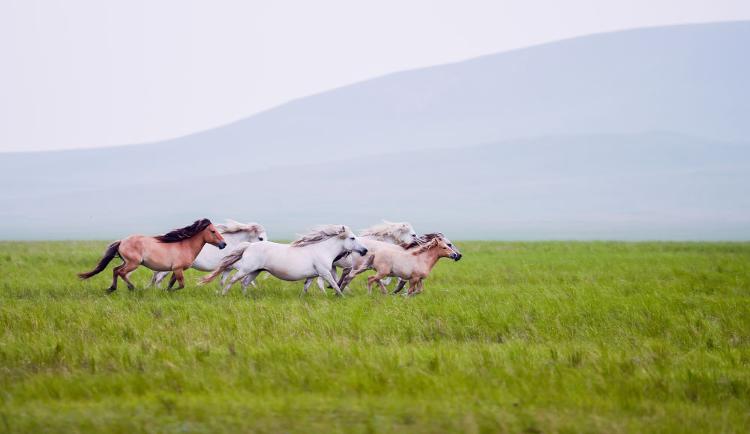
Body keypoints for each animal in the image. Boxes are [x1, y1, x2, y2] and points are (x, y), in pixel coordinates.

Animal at [78, 219, 229, 294]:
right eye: (213, 231)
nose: (224, 244)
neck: (185, 246)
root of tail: (122, 241)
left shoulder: (175, 270)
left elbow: (173, 283)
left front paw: (166, 291)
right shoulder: (178, 269)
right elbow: (181, 285)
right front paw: (165, 291)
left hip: (128, 262)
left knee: (115, 270)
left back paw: (112, 288)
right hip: (133, 263)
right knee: (121, 272)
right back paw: (131, 288)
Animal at [201, 225, 368, 296]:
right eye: (352, 238)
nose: (365, 250)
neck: (322, 250)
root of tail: (249, 245)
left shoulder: (312, 276)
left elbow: (305, 288)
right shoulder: (324, 273)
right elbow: (335, 285)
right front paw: (341, 297)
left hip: (256, 271)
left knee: (244, 283)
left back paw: (245, 297)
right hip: (246, 269)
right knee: (233, 280)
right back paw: (223, 294)